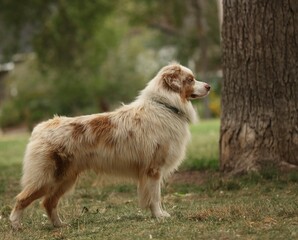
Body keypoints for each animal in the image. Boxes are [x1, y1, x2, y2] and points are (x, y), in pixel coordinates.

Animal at [9, 62, 210, 229]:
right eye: (190, 79)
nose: (209, 86)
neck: (165, 105)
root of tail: (40, 128)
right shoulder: (153, 169)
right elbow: (155, 197)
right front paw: (160, 215)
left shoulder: (151, 170)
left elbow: (153, 196)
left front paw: (157, 215)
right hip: (46, 177)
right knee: (21, 198)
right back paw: (16, 225)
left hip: (65, 179)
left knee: (48, 202)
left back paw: (59, 224)